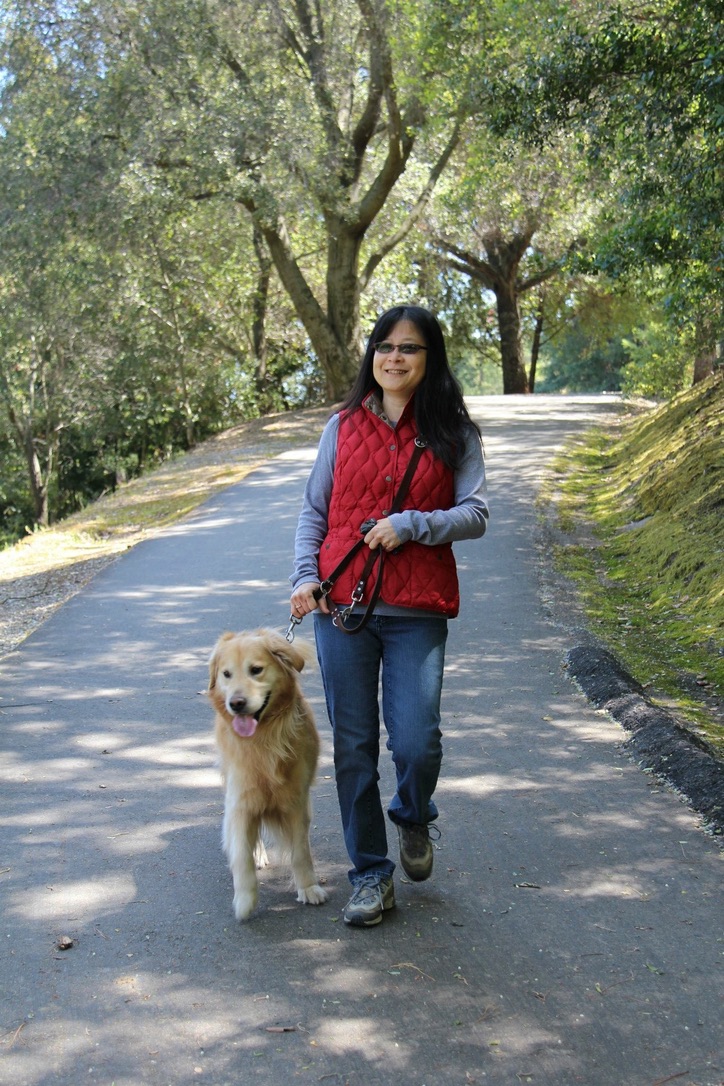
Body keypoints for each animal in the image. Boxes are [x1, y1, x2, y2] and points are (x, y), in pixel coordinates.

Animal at [208, 628, 328, 920]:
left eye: (256, 670)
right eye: (226, 674)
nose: (236, 703)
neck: (263, 738)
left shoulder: (296, 801)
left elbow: (300, 852)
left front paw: (308, 887)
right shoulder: (240, 802)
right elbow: (241, 855)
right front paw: (244, 899)